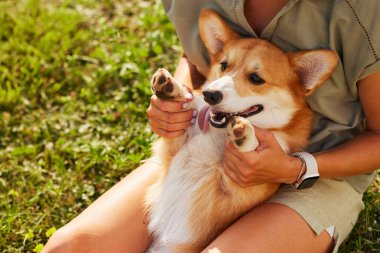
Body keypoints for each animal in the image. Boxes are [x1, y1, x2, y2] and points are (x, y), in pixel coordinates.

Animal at [144, 8, 336, 252]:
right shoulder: (175, 148)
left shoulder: (236, 189)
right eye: (224, 65)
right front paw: (171, 89)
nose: (210, 95)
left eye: (256, 78)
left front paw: (245, 135)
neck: (216, 136)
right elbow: (185, 110)